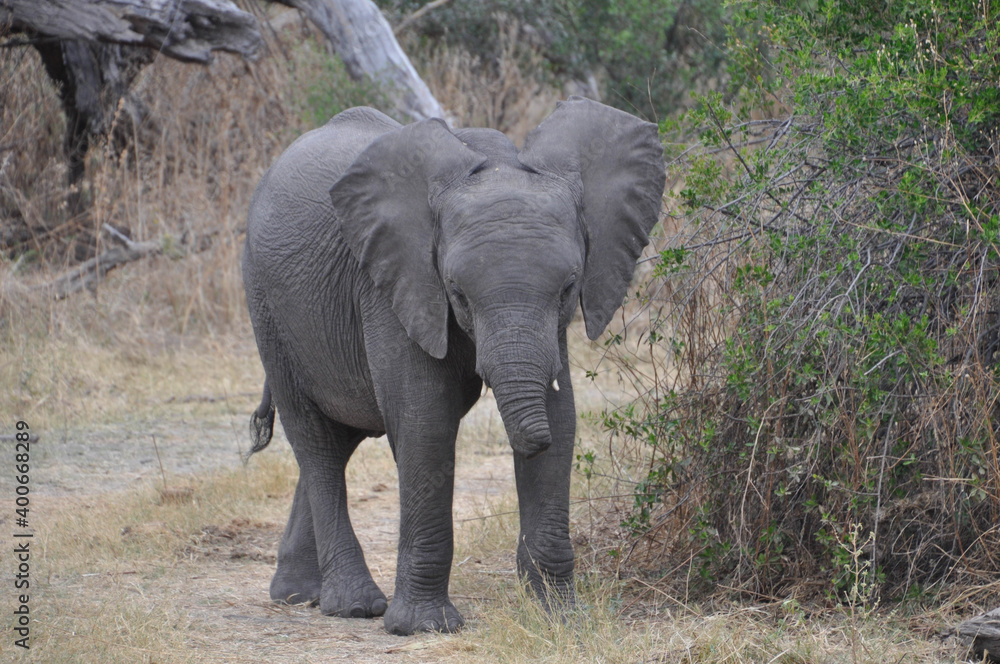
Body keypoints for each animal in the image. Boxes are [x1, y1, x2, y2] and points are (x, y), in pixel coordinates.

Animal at [241, 96, 665, 636]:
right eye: (457, 292)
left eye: (570, 287)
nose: (528, 439)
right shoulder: (394, 283)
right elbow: (425, 423)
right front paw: (423, 627)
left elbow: (563, 416)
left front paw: (558, 617)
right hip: (267, 306)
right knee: (317, 441)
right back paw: (352, 605)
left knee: (340, 437)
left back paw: (297, 594)